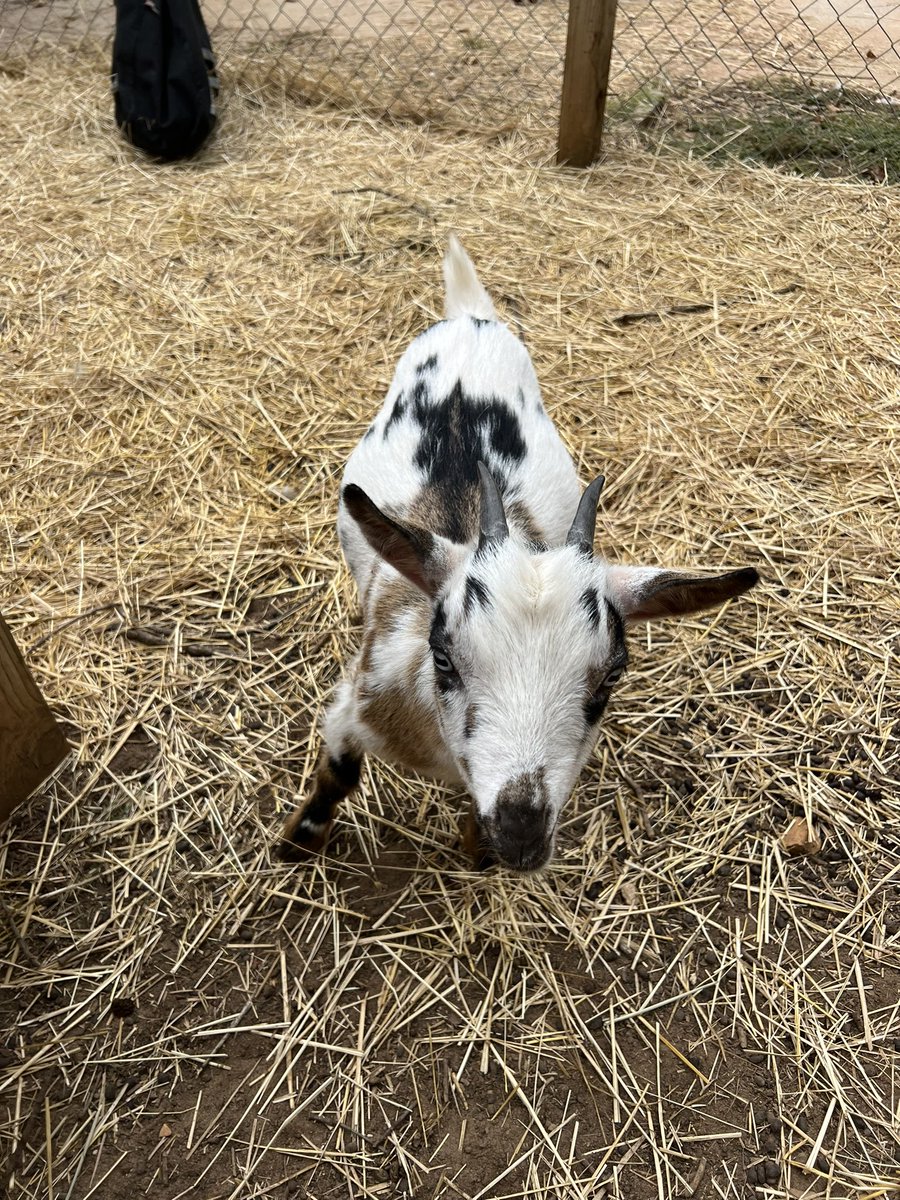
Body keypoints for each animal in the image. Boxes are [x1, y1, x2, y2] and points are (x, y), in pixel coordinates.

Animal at [279, 236, 758, 872]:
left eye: (612, 676)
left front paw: (476, 848)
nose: (521, 833)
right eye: (443, 657)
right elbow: (337, 774)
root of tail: (472, 317)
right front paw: (297, 842)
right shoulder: (352, 706)